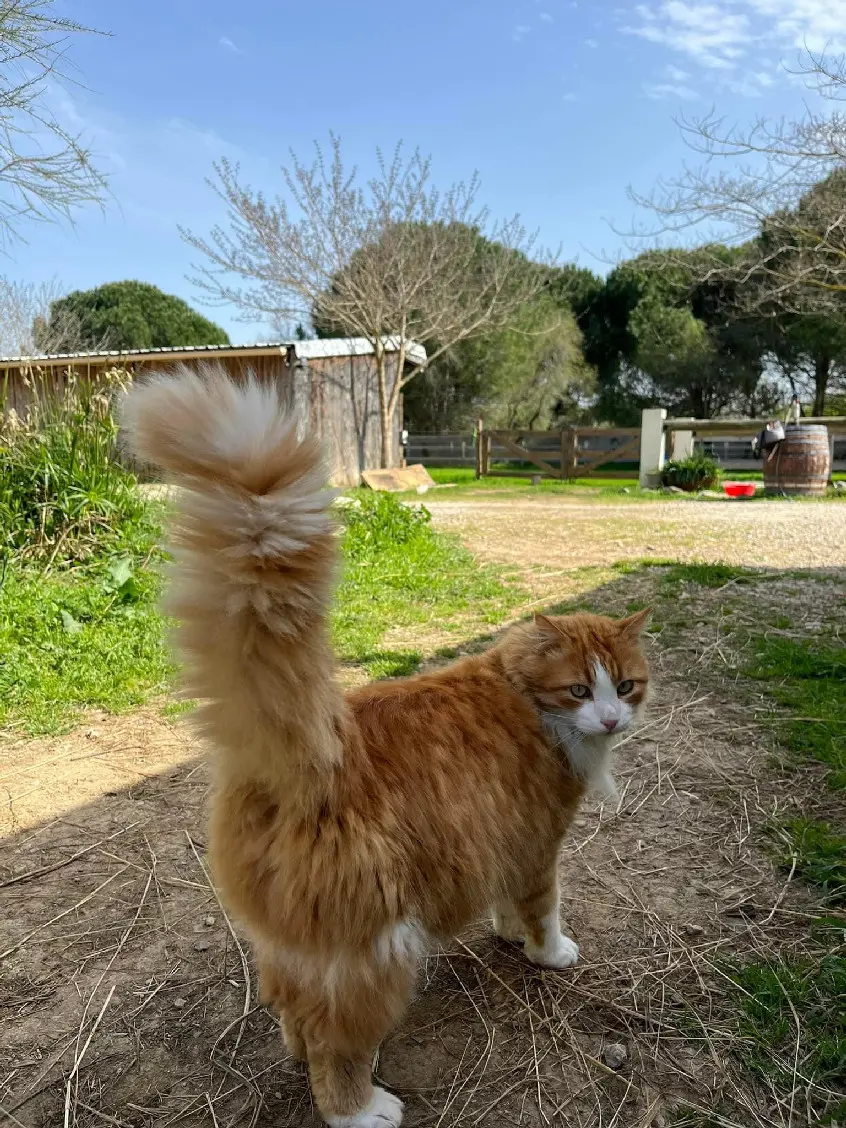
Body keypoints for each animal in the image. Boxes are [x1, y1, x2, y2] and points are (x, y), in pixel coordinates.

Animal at [120, 367, 649, 1128]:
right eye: (580, 689)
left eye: (626, 686)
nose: (610, 720)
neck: (522, 693)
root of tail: (308, 752)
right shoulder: (537, 845)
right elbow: (544, 908)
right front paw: (547, 952)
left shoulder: (500, 840)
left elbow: (506, 904)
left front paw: (507, 935)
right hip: (377, 951)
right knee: (334, 1046)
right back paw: (361, 1107)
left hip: (296, 948)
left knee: (294, 1011)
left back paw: (296, 1051)